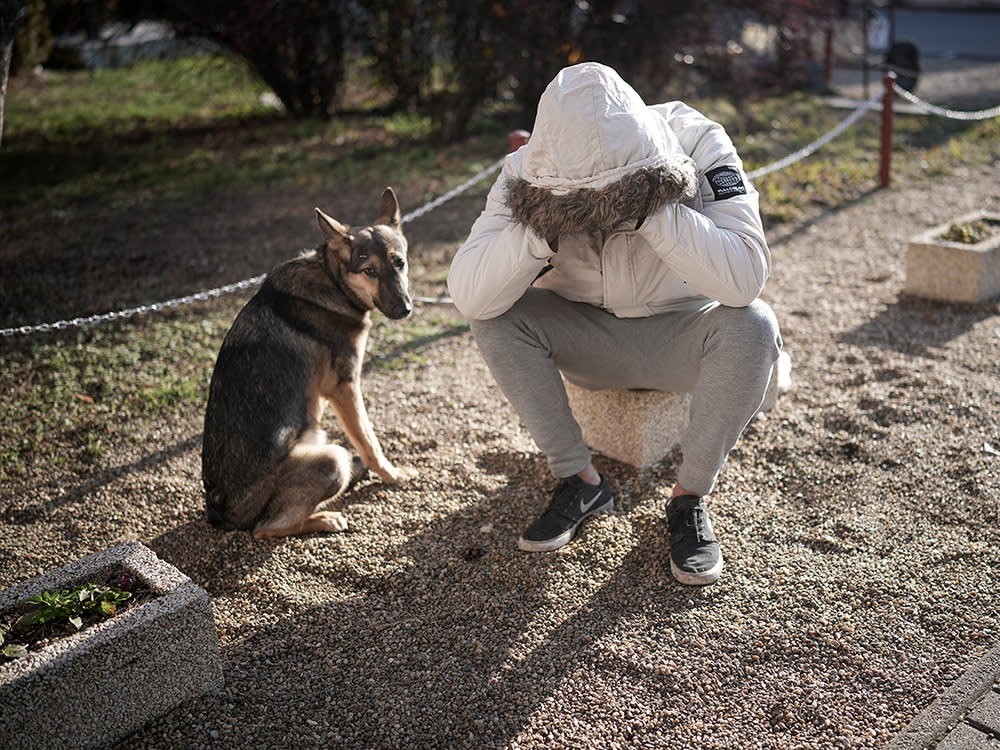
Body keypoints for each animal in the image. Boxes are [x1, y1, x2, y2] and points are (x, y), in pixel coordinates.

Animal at [203, 188, 414, 540]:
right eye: (369, 271)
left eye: (399, 263)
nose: (404, 309)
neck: (332, 281)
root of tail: (219, 515)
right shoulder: (344, 387)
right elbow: (369, 441)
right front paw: (392, 474)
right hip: (331, 461)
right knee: (266, 528)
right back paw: (325, 518)